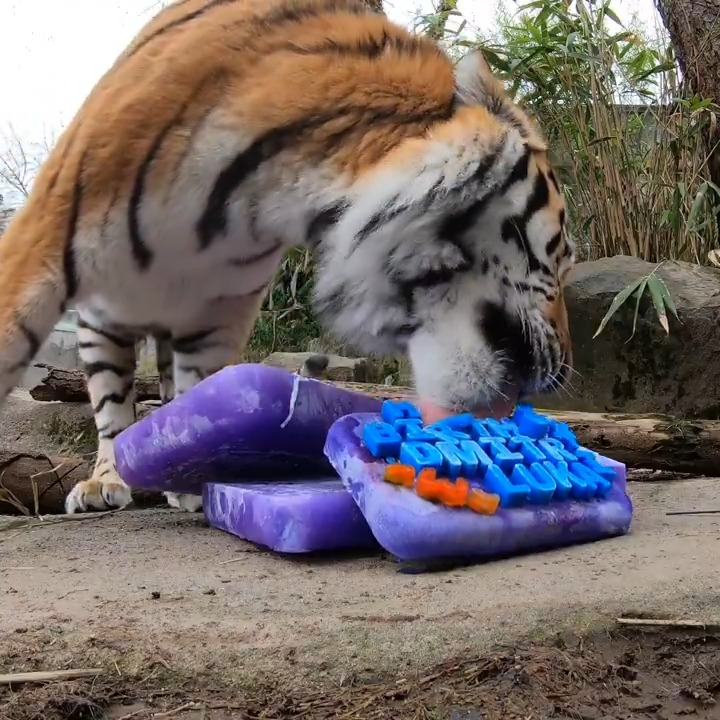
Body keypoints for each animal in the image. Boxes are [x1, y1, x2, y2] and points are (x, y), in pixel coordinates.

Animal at [0, 0, 575, 515]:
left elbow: (196, 395)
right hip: (104, 322)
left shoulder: (218, 313)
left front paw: (192, 479)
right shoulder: (45, 234)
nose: (563, 371)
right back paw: (106, 480)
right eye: (563, 257)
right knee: (112, 409)